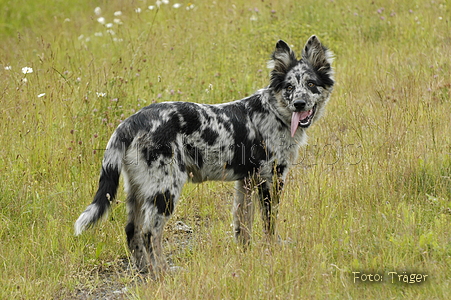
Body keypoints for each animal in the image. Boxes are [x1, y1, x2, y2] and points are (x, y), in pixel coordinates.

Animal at [75, 35, 336, 274]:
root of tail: (132, 121)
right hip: (165, 189)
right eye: (289, 88)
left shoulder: (246, 182)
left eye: (311, 84)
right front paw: (272, 250)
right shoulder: (270, 179)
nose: (299, 104)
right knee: (150, 232)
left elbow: (243, 224)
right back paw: (163, 273)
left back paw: (145, 271)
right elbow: (269, 224)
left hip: (138, 190)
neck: (274, 112)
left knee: (132, 231)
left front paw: (246, 254)